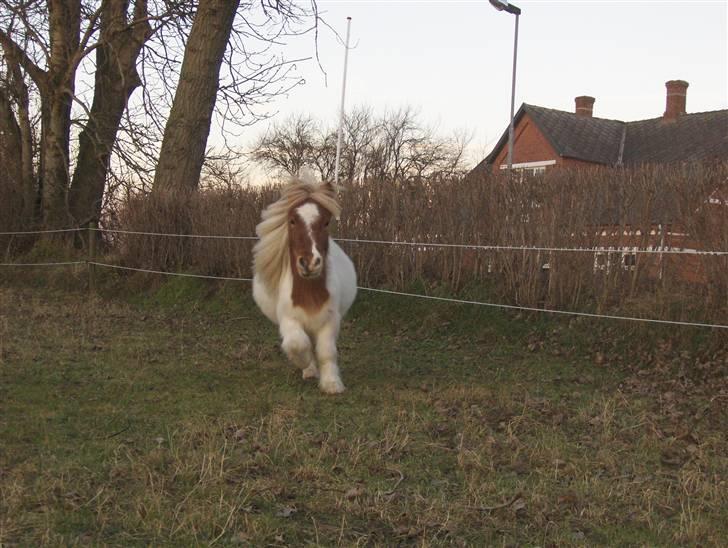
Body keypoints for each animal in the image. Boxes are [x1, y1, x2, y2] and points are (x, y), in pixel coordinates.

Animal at [253, 178, 358, 392]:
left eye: (326, 222)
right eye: (292, 221)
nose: (310, 263)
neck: (309, 292)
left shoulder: (330, 319)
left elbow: (326, 351)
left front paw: (332, 384)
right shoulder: (288, 319)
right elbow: (297, 344)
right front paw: (305, 364)